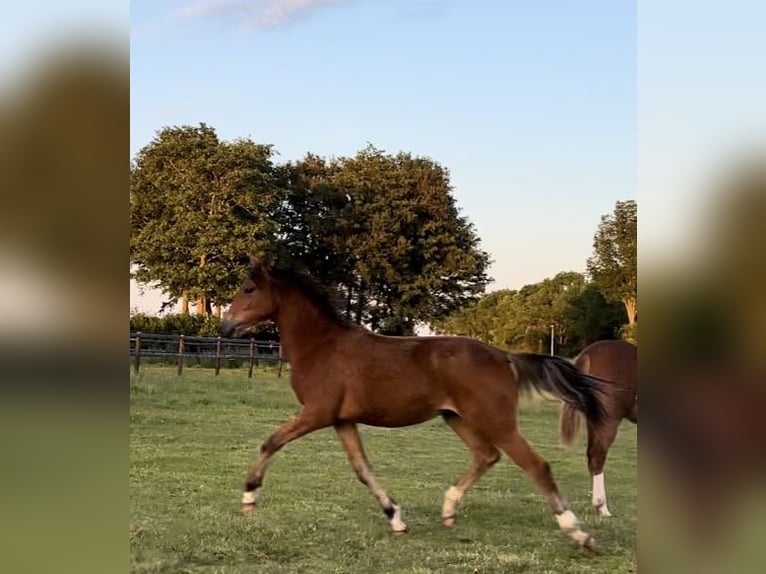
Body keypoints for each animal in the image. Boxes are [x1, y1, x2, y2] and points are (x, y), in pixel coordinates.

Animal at [222, 260, 612, 548]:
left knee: (536, 465)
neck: (321, 346)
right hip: (457, 418)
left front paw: (249, 497)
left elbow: (271, 442)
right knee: (486, 456)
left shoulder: (317, 413)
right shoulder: (342, 420)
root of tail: (504, 356)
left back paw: (578, 532)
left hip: (496, 421)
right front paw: (395, 518)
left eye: (248, 289)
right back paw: (449, 509)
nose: (225, 326)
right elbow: (362, 469)